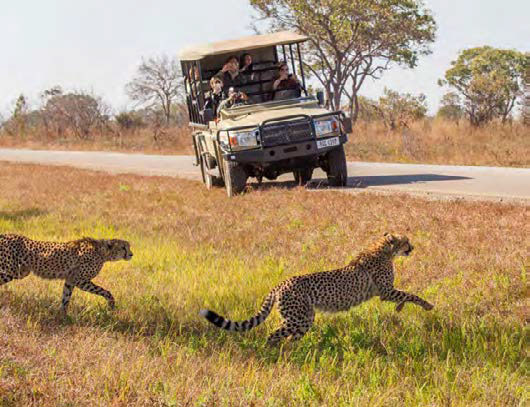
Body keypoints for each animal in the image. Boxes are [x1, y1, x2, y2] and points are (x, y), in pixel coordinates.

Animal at [0, 234, 132, 314]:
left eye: (128, 247)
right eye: (123, 247)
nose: (131, 254)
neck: (102, 252)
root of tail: (6, 235)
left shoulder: (70, 280)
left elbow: (66, 297)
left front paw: (62, 316)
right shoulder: (81, 281)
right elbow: (106, 291)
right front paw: (111, 305)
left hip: (20, 272)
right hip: (9, 271)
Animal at [200, 234, 432, 346]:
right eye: (406, 241)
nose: (412, 247)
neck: (383, 249)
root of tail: (281, 284)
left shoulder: (385, 292)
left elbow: (405, 296)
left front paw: (401, 308)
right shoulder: (385, 291)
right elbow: (411, 294)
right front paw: (428, 305)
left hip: (303, 319)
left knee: (288, 339)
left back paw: (293, 354)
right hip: (298, 318)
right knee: (273, 334)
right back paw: (272, 353)